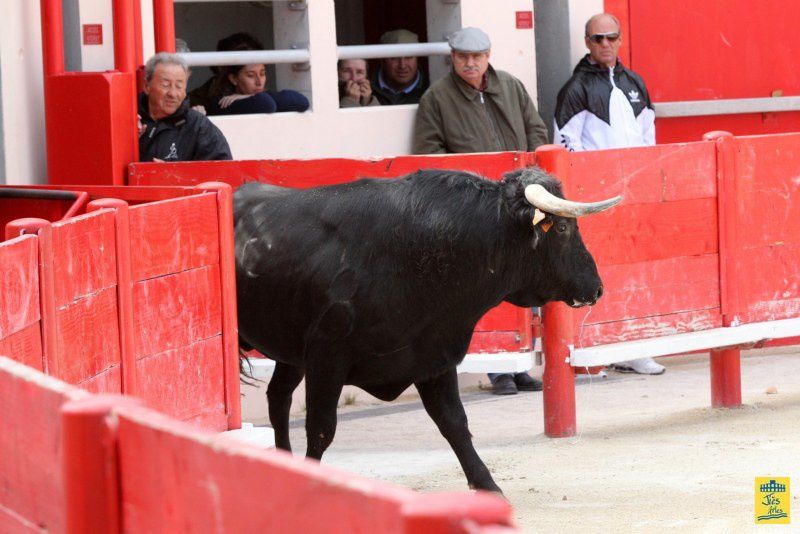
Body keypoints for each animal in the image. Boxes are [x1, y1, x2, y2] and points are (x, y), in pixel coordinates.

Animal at [231, 170, 620, 496]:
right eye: (564, 228)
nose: (597, 288)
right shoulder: (327, 359)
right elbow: (322, 427)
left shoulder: (434, 353)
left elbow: (454, 423)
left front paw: (487, 486)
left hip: (288, 350)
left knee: (278, 398)